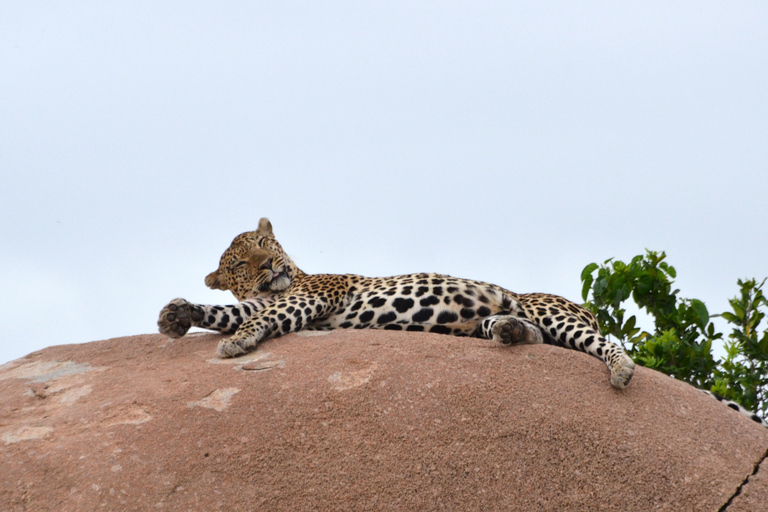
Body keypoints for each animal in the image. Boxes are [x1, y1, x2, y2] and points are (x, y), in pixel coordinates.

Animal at [158, 218, 768, 426]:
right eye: (241, 263)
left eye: (266, 245)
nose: (272, 268)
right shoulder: (260, 300)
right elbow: (225, 310)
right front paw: (177, 313)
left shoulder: (306, 300)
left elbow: (262, 317)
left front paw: (235, 345)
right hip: (514, 321)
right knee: (536, 337)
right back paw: (507, 332)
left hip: (555, 311)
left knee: (609, 344)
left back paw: (618, 372)